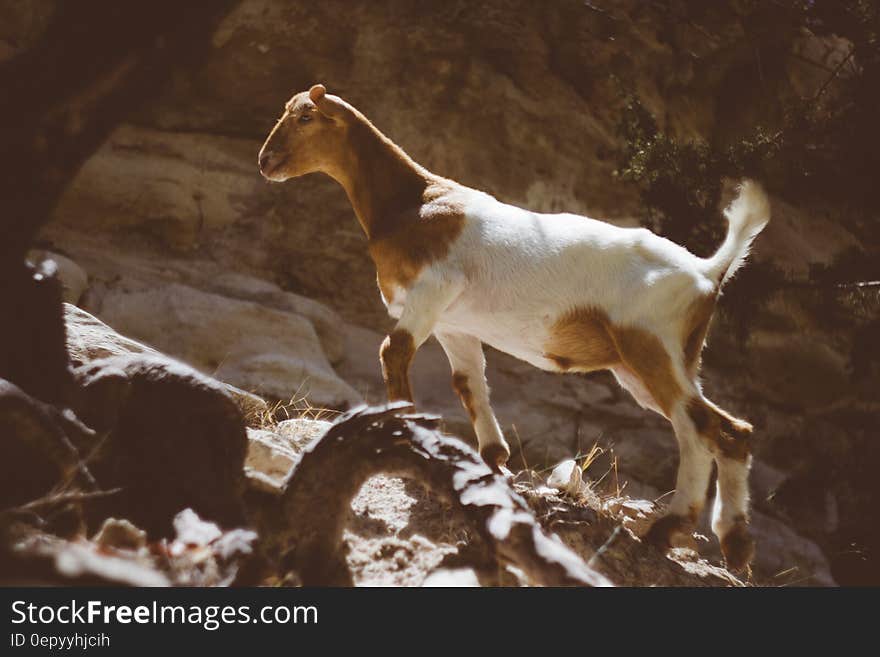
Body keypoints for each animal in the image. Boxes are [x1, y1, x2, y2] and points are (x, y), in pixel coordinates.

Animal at [260, 83, 768, 568]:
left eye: (305, 117)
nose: (266, 160)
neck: (412, 202)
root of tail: (707, 271)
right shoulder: (454, 324)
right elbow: (468, 383)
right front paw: (494, 459)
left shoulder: (431, 291)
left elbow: (394, 352)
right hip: (655, 362)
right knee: (725, 432)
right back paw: (731, 542)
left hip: (650, 346)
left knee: (702, 429)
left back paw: (675, 529)